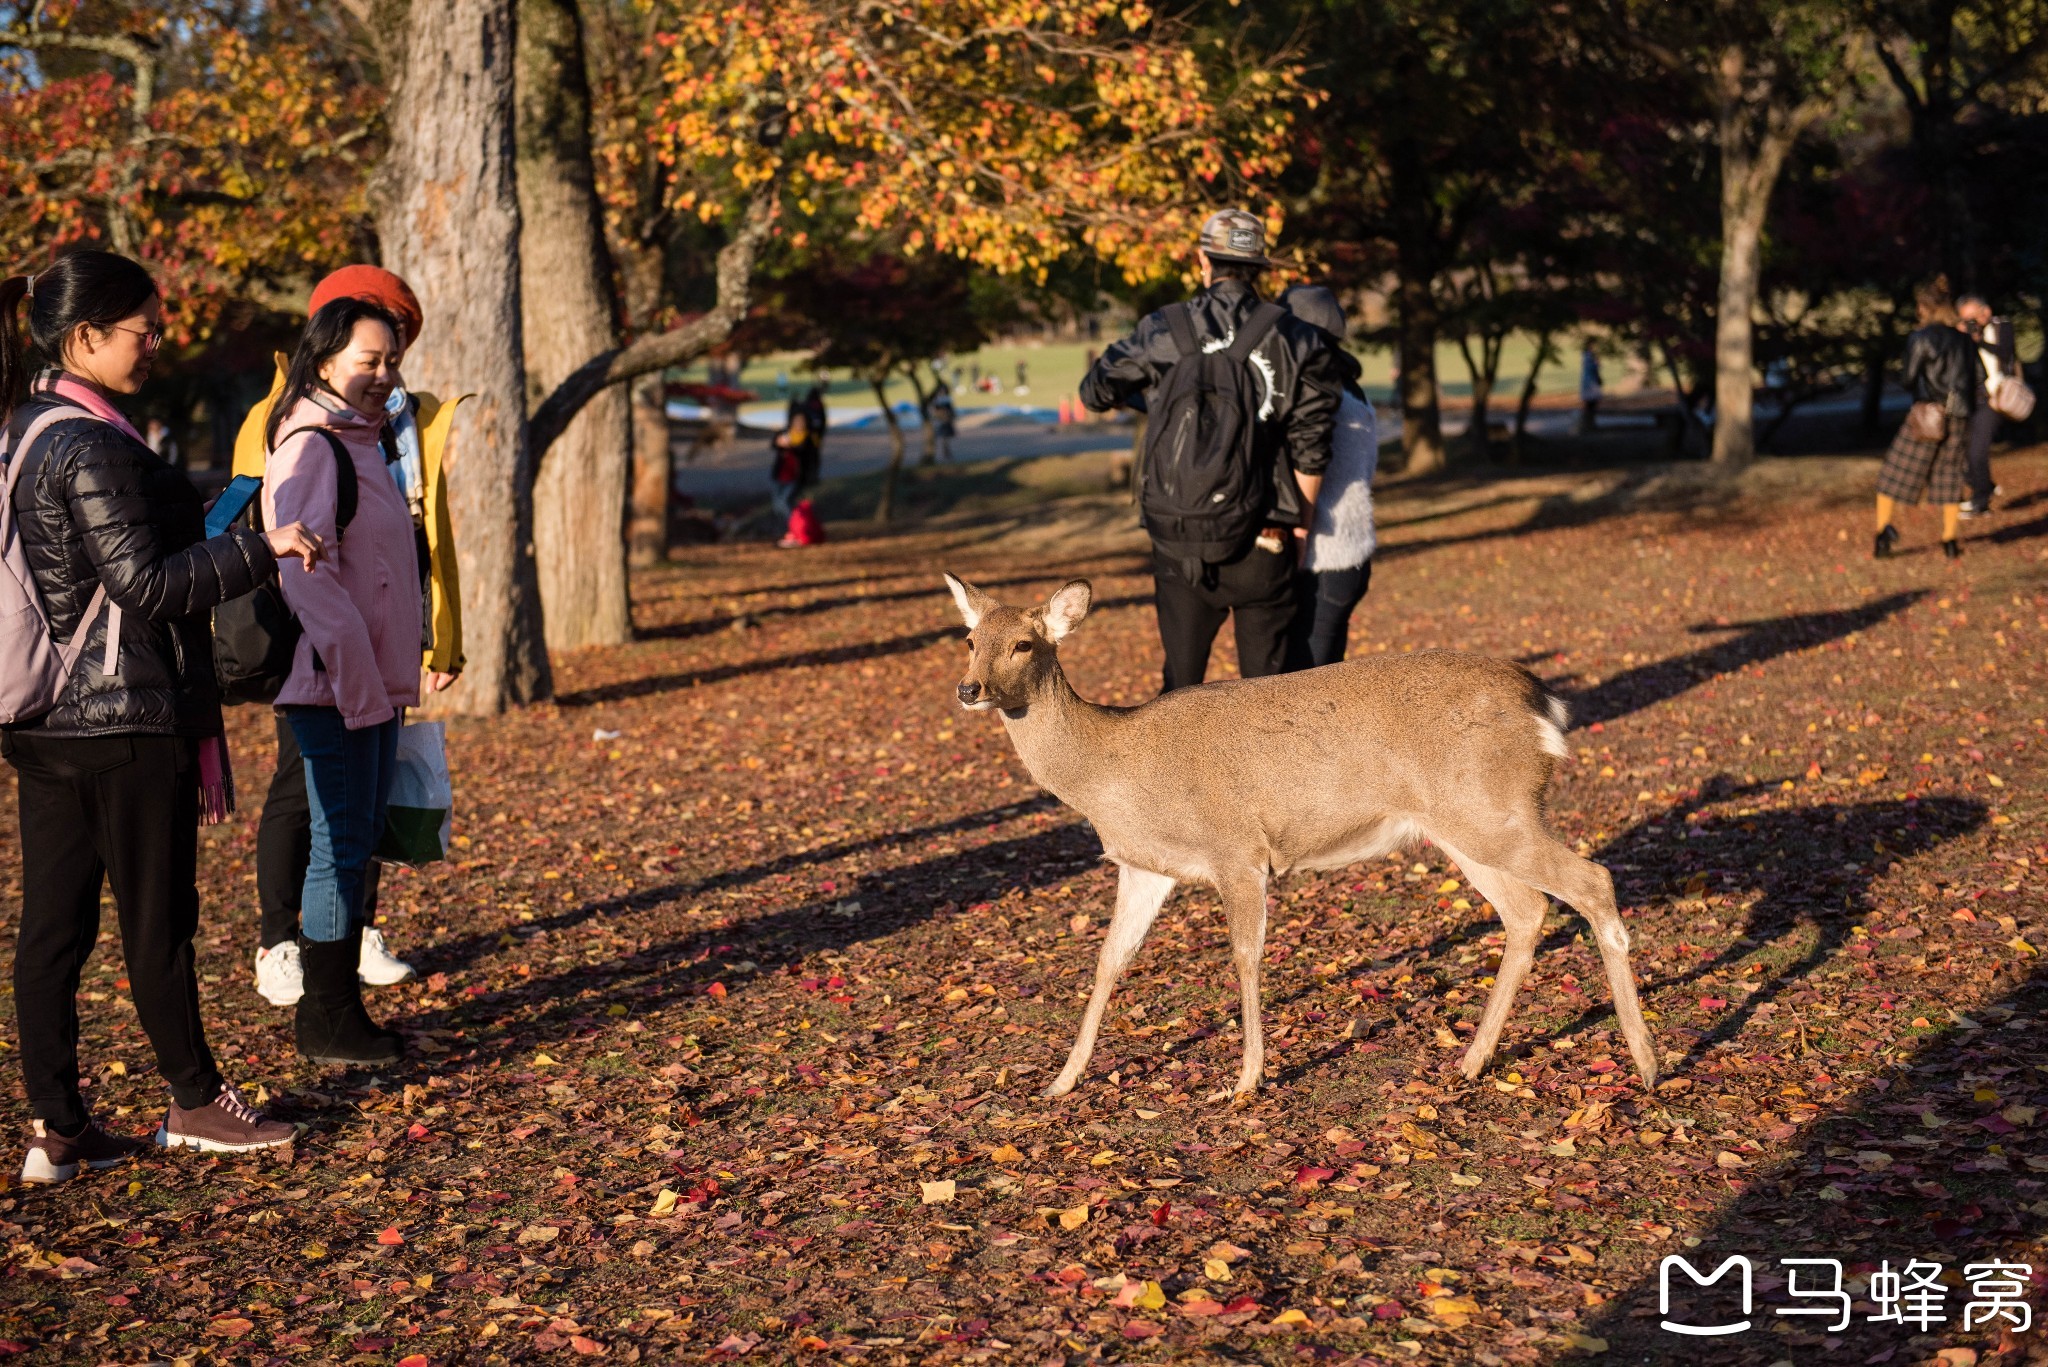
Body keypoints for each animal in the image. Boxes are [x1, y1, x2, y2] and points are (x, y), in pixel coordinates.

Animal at [950, 569, 1654, 1098]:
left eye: (1024, 644)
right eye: (969, 638)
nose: (969, 688)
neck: (1110, 773)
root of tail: (1546, 707)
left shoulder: (1237, 849)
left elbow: (1245, 956)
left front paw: (1246, 1081)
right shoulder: (1144, 866)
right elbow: (1108, 960)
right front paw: (1061, 1081)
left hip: (1493, 810)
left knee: (1592, 880)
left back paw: (1646, 1062)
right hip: (1465, 825)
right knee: (1528, 911)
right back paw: (1472, 1061)